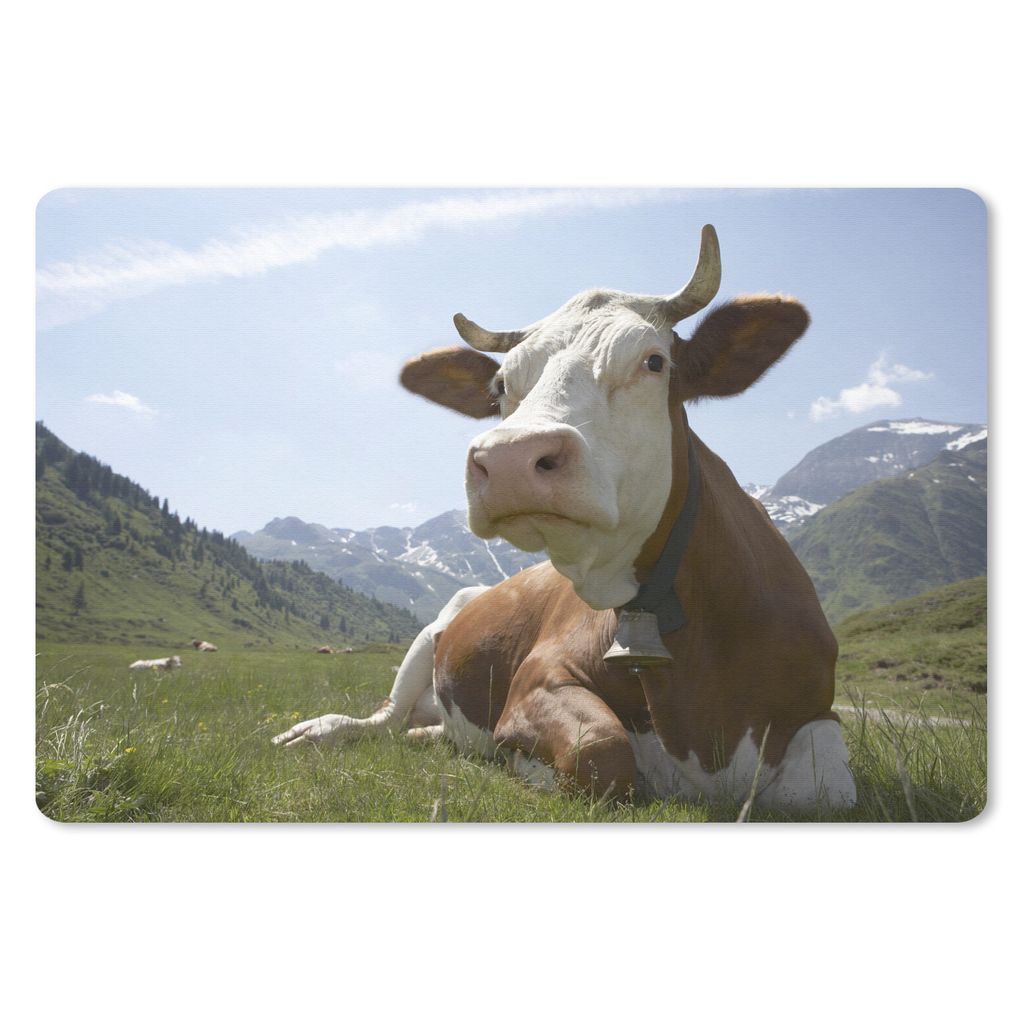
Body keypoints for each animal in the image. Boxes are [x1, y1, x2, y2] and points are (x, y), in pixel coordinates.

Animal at [273, 226, 856, 813]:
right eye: (500, 387)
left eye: (654, 362)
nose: (510, 458)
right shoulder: (538, 678)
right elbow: (602, 750)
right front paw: (523, 766)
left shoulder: (817, 715)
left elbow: (828, 791)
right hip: (427, 638)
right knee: (381, 721)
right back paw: (318, 730)